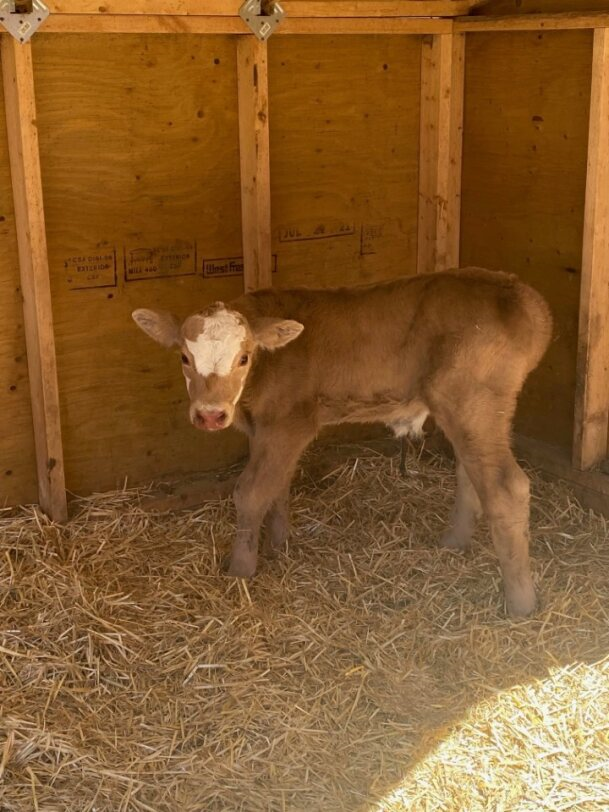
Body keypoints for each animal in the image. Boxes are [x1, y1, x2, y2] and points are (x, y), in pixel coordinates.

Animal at [132, 268, 552, 617]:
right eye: (184, 358)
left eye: (244, 358)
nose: (210, 414)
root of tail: (523, 296)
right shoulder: (266, 430)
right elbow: (278, 485)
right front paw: (279, 546)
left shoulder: (291, 423)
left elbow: (250, 492)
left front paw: (241, 569)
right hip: (471, 413)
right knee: (470, 471)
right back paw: (454, 541)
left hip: (472, 403)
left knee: (506, 487)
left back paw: (521, 604)